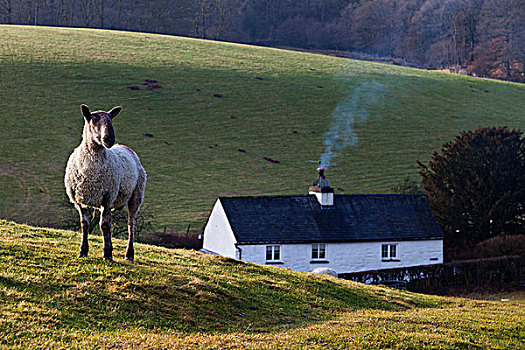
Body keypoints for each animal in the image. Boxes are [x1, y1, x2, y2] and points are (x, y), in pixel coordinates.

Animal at [66, 105, 147, 262]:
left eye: (111, 119)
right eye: (92, 119)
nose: (109, 139)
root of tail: (125, 147)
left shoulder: (108, 198)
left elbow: (105, 225)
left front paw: (108, 254)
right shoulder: (80, 200)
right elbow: (85, 224)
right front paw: (83, 251)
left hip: (136, 195)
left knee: (131, 225)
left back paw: (129, 254)